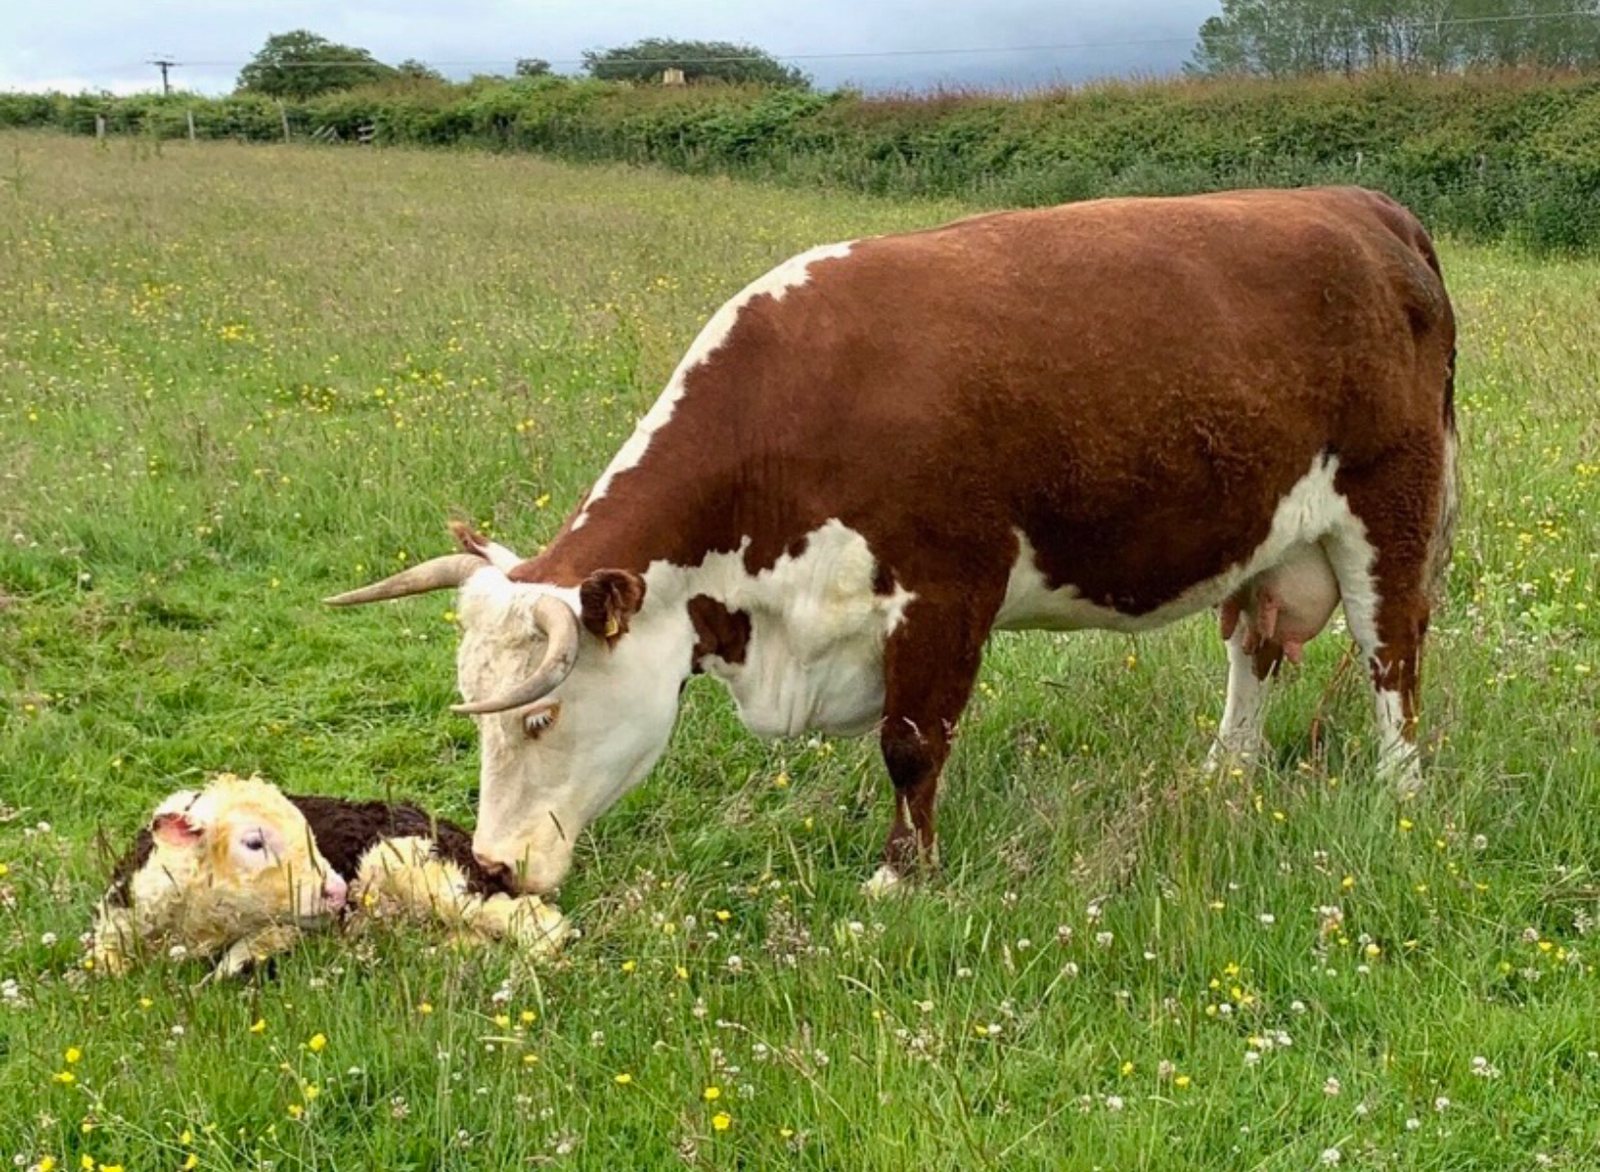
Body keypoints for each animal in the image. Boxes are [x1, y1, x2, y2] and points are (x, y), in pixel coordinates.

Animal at [327, 186, 1459, 898]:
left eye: (540, 715)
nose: (492, 866)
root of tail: (1364, 206)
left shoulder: (946, 590)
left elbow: (913, 743)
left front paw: (897, 877)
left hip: (1388, 508)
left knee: (1391, 652)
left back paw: (1400, 793)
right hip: (1269, 533)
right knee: (1255, 643)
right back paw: (1226, 771)